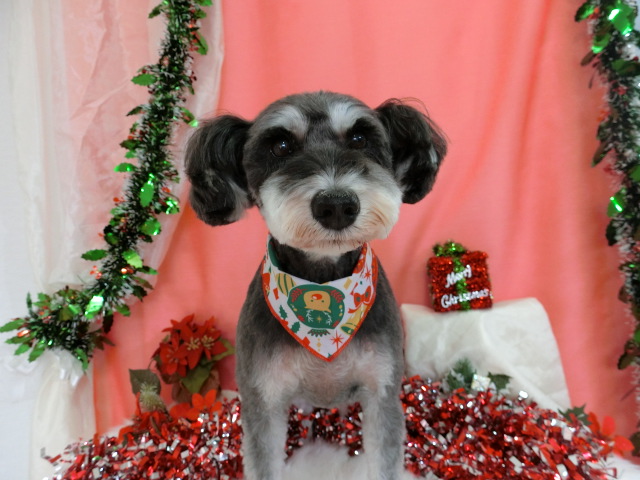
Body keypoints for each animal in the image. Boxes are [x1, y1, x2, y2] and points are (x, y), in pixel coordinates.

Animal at [185, 91, 446, 480]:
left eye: (359, 139)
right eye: (280, 146)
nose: (336, 205)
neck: (323, 279)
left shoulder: (382, 393)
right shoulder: (262, 400)